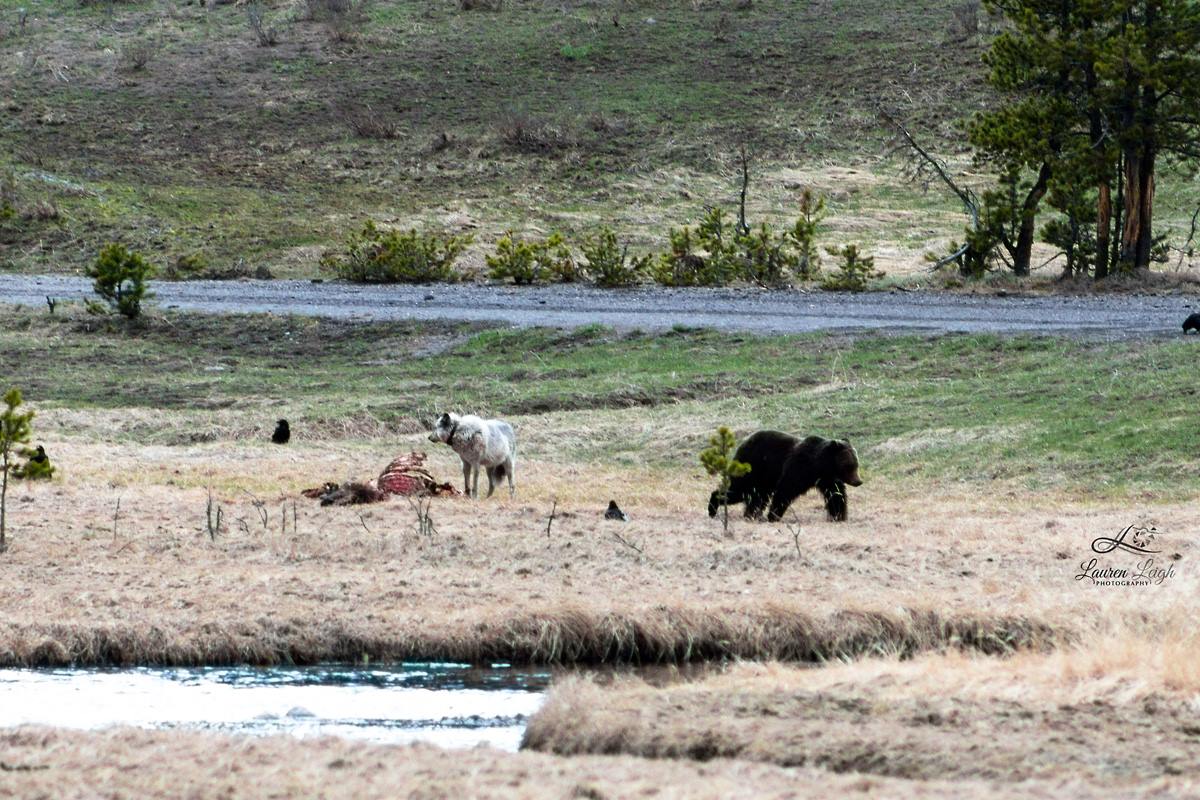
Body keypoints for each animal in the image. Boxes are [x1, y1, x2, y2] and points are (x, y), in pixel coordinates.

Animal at [700, 431, 864, 525]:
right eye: (850, 465)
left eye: (857, 464)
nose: (858, 481)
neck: (818, 465)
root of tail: (744, 442)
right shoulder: (798, 467)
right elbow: (786, 489)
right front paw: (774, 516)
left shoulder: (827, 479)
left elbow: (836, 495)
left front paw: (839, 516)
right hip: (753, 467)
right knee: (739, 490)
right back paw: (713, 507)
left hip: (762, 479)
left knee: (755, 497)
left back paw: (751, 515)